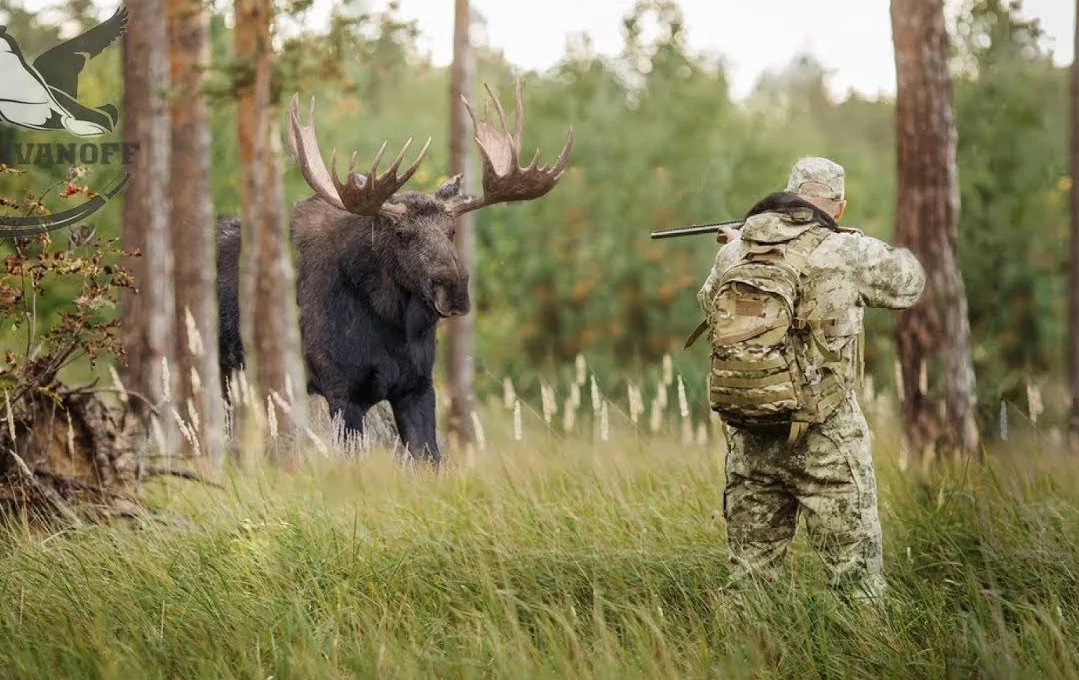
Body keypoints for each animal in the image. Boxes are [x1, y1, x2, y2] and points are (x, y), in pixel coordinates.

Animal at [214, 77, 578, 466]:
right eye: (402, 233)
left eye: (452, 231)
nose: (455, 290)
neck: (392, 326)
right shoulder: (340, 388)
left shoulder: (418, 385)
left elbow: (429, 458)